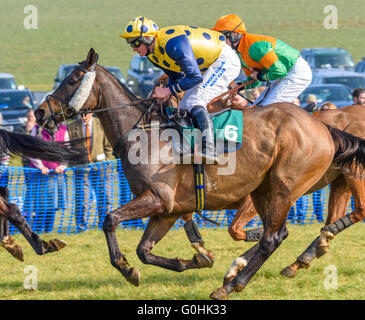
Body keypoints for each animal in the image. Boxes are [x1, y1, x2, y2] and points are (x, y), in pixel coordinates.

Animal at [33, 48, 365, 298]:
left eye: (74, 78)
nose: (39, 112)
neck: (144, 134)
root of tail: (322, 126)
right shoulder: (167, 209)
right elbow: (145, 250)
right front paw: (196, 258)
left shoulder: (157, 198)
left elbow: (110, 220)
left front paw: (127, 269)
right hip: (267, 189)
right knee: (282, 232)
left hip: (286, 186)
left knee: (274, 237)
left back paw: (232, 284)